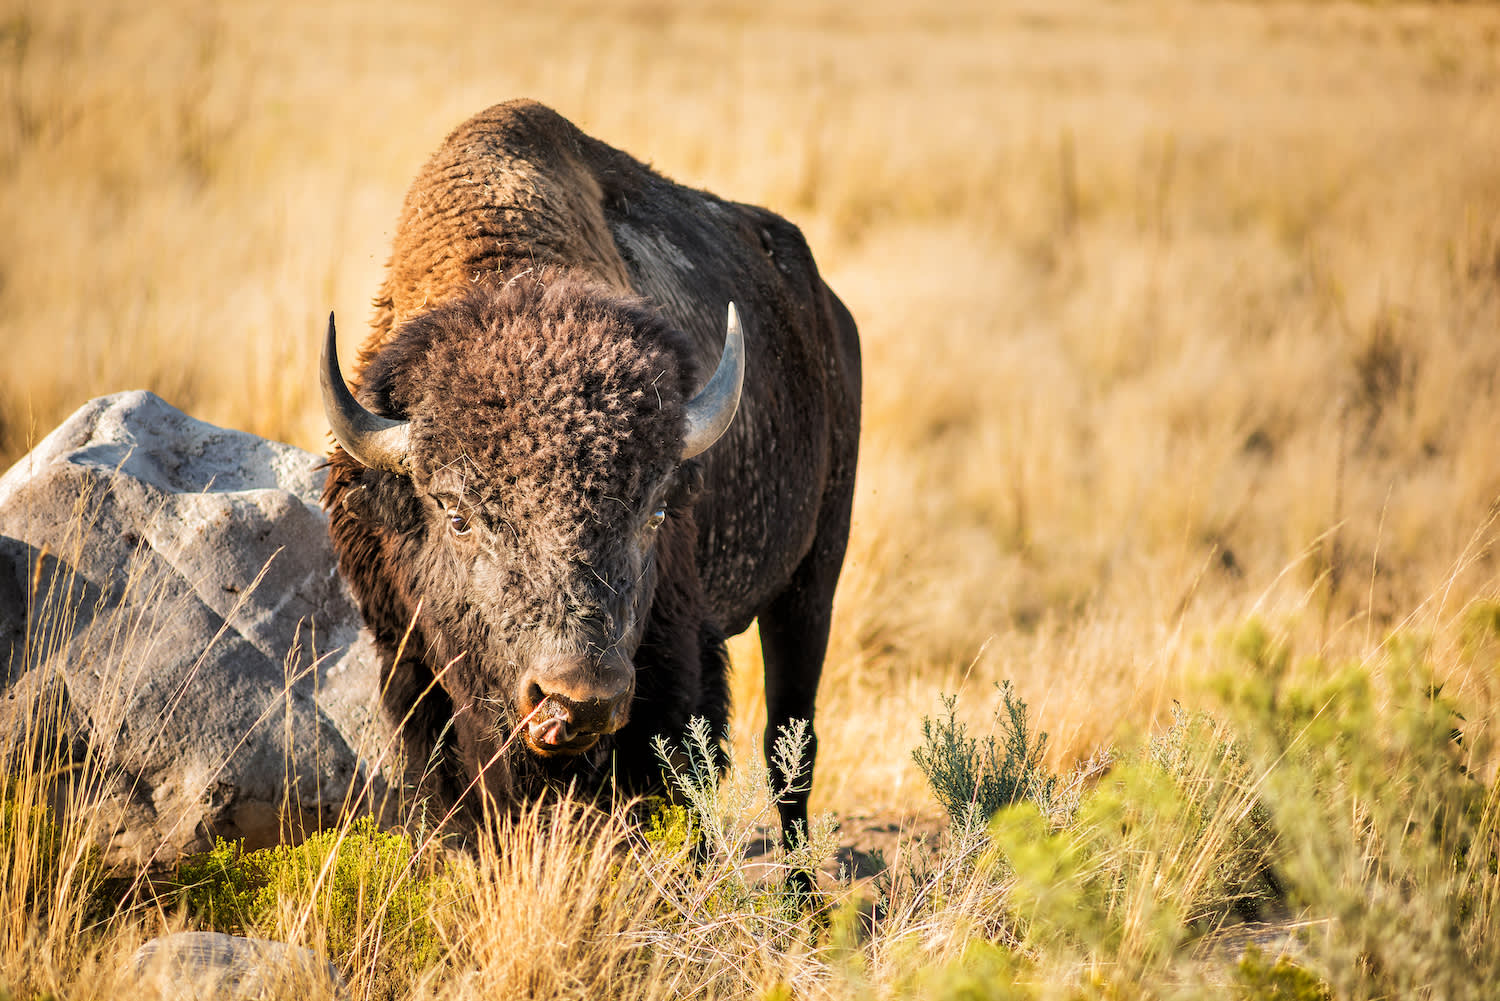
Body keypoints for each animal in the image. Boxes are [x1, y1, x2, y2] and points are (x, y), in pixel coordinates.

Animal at [322, 102, 864, 864]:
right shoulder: (409, 663)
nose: (578, 698)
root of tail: (828, 312)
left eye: (655, 512)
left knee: (793, 746)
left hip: (813, 576)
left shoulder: (673, 664)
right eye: (456, 513)